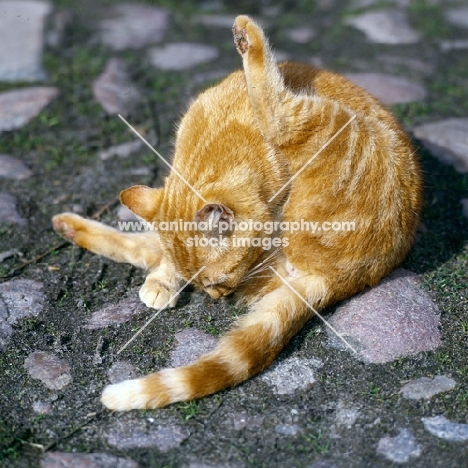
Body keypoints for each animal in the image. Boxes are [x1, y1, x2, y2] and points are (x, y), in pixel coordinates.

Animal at [53, 16, 422, 410]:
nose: (218, 299)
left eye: (218, 282)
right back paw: (67, 226)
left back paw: (248, 37)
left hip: (327, 128)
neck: (218, 141)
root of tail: (343, 279)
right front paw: (165, 279)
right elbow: (162, 252)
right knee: (141, 246)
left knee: (278, 112)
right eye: (206, 285)